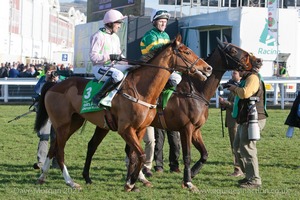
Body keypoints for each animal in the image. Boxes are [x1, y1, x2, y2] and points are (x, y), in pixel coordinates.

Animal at [33, 34, 211, 191]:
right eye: (186, 52)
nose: (208, 68)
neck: (141, 90)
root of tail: (54, 84)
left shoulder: (140, 129)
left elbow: (133, 155)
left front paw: (131, 182)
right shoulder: (125, 129)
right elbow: (141, 155)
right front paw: (131, 183)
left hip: (74, 122)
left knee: (55, 147)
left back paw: (43, 177)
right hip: (62, 124)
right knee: (60, 151)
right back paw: (70, 182)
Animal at [80, 38, 262, 191]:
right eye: (233, 50)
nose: (258, 61)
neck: (195, 90)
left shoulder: (196, 130)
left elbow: (204, 154)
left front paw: (193, 173)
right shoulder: (186, 128)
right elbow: (187, 155)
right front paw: (188, 181)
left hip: (106, 124)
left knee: (97, 146)